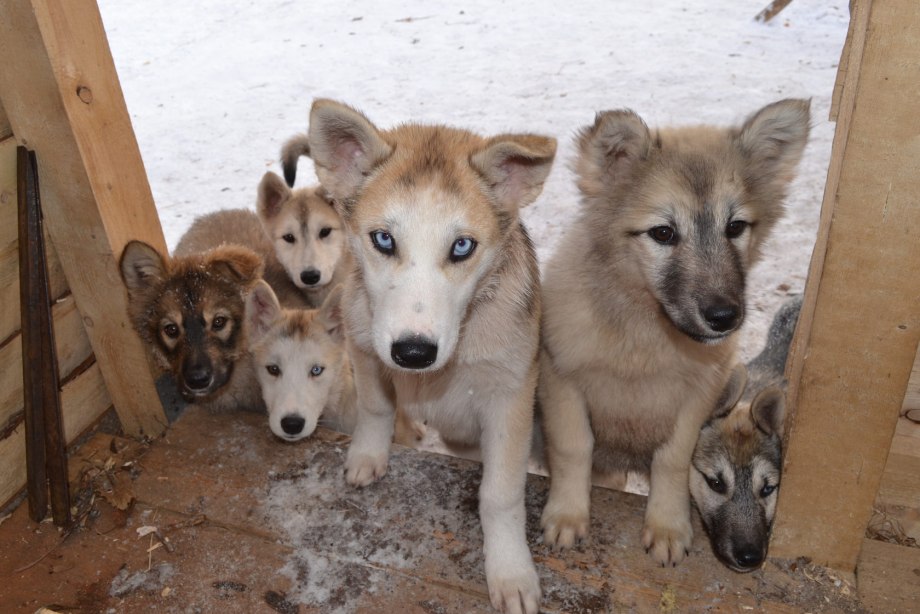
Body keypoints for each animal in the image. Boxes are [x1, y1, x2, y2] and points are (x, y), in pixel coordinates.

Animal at [306, 98, 556, 612]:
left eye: (462, 246)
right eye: (383, 239)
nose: (414, 352)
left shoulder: (510, 399)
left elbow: (500, 494)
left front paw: (510, 570)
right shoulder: (365, 345)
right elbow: (376, 407)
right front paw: (368, 454)